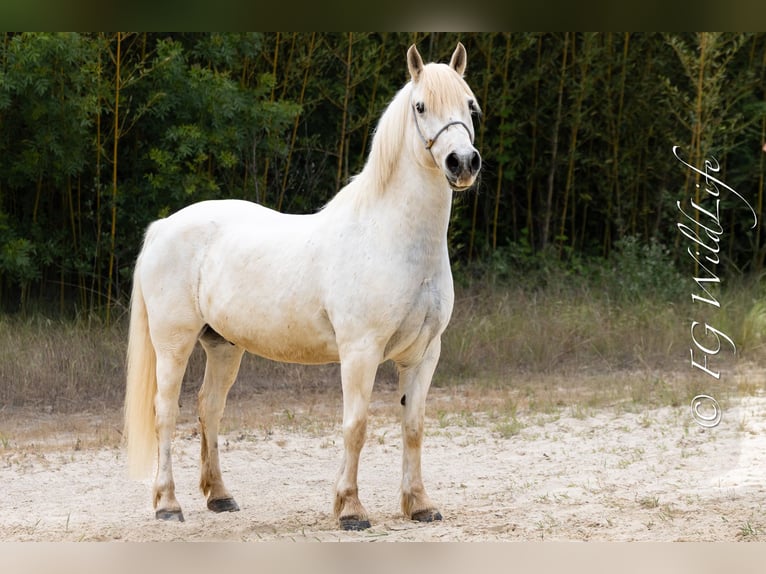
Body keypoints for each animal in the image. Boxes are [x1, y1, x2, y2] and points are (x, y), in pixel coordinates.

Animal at [123, 42, 482, 531]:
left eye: (470, 105)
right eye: (421, 106)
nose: (462, 163)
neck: (391, 235)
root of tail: (162, 227)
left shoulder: (424, 354)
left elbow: (413, 427)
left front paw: (420, 505)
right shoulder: (360, 352)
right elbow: (356, 426)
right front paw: (350, 509)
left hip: (222, 346)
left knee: (208, 409)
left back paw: (220, 496)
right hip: (173, 344)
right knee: (165, 413)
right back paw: (167, 504)